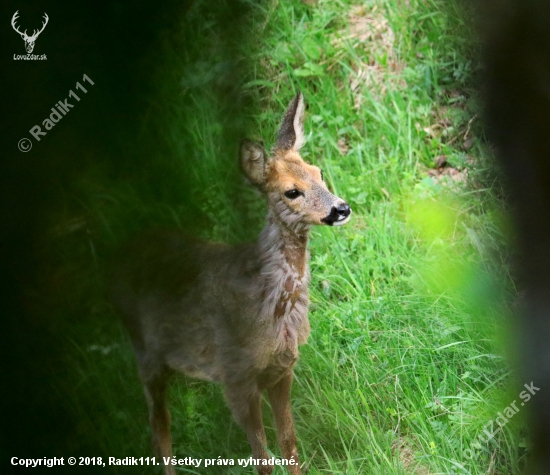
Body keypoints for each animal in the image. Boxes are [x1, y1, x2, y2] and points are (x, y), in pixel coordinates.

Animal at [111, 91, 354, 474]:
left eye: (318, 173)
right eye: (291, 192)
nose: (341, 209)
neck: (272, 307)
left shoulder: (282, 370)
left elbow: (289, 443)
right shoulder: (236, 377)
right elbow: (262, 458)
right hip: (144, 351)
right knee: (158, 429)